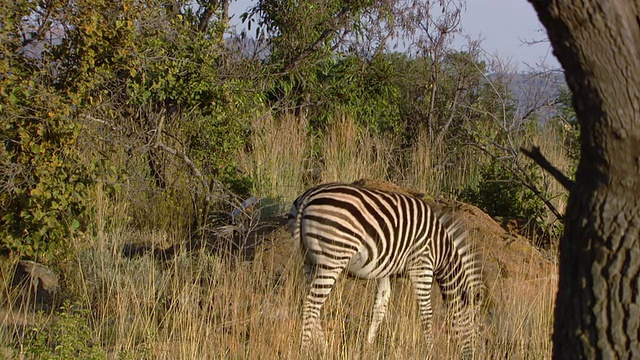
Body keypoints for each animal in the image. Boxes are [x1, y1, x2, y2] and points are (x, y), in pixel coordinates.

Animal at [288, 183, 482, 358]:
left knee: (312, 303)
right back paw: (305, 350)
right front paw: (430, 351)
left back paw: (324, 348)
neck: (441, 249)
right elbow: (426, 313)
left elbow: (380, 308)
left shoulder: (385, 271)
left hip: (310, 260)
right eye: (476, 330)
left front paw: (368, 346)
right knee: (311, 304)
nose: (474, 355)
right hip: (333, 258)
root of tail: (308, 197)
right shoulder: (422, 265)